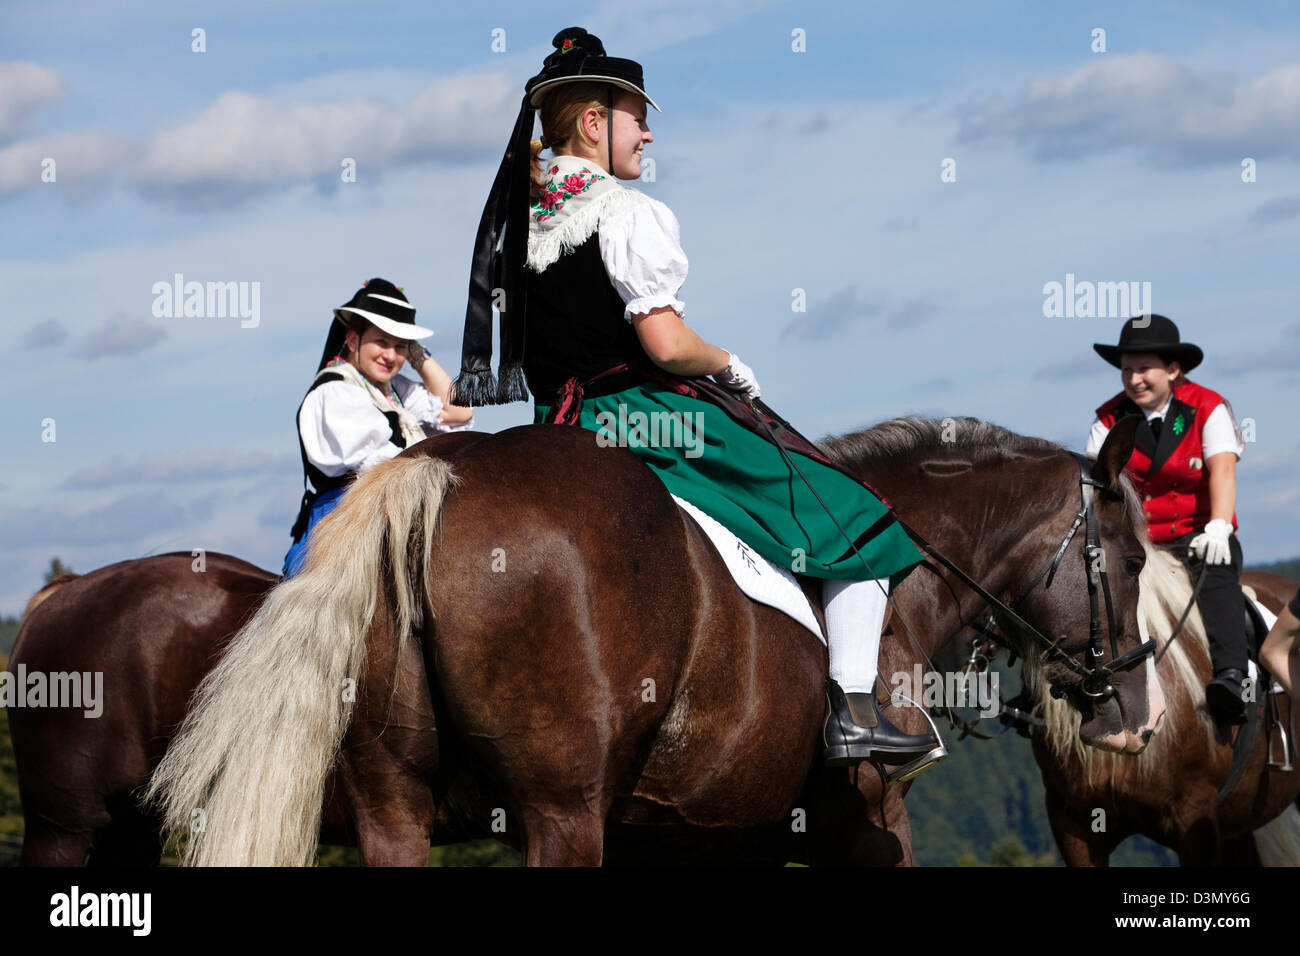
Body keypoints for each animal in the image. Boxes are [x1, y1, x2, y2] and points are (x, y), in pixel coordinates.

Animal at [142, 413, 1159, 868]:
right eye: (1132, 558)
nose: (1138, 722)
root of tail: (436, 470)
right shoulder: (870, 822)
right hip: (559, 814)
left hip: (394, 813)